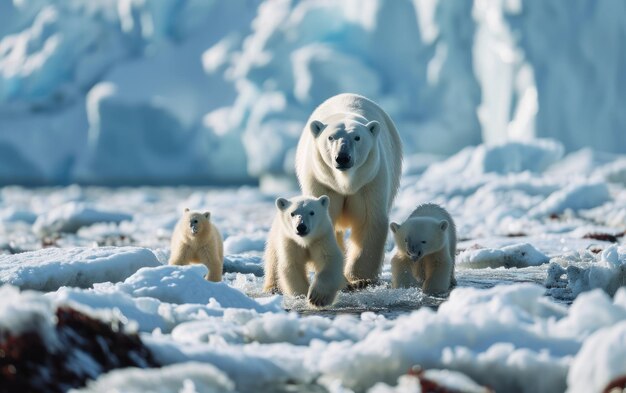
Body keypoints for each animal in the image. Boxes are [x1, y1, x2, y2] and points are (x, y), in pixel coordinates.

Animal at [294, 93, 402, 286]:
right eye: (330, 137)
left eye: (357, 137)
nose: (342, 157)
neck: (345, 183)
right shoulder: (322, 183)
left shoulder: (370, 181)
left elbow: (369, 221)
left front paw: (359, 279)